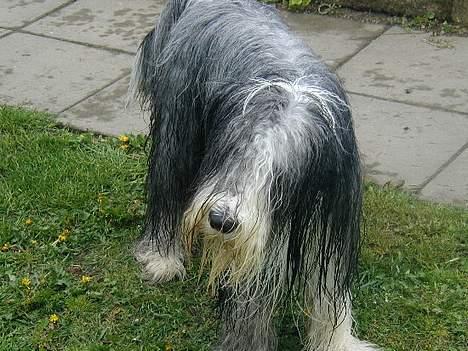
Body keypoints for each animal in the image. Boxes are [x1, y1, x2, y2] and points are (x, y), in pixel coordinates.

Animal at [130, 0, 378, 351]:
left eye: (279, 173)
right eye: (230, 152)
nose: (221, 221)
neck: (294, 94)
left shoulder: (332, 216)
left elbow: (328, 290)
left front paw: (337, 342)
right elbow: (252, 299)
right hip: (178, 127)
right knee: (166, 190)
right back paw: (162, 258)